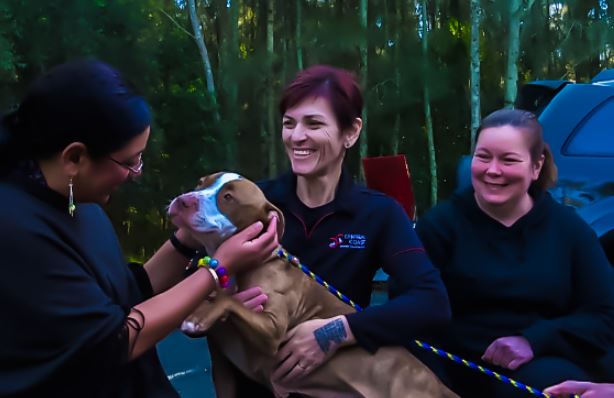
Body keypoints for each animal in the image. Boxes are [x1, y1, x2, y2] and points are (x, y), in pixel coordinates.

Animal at [167, 172, 458, 398]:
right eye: (200, 183)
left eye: (228, 198)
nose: (183, 200)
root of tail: (439, 385)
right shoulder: (222, 367)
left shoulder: (272, 329)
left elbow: (232, 302)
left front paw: (199, 316)